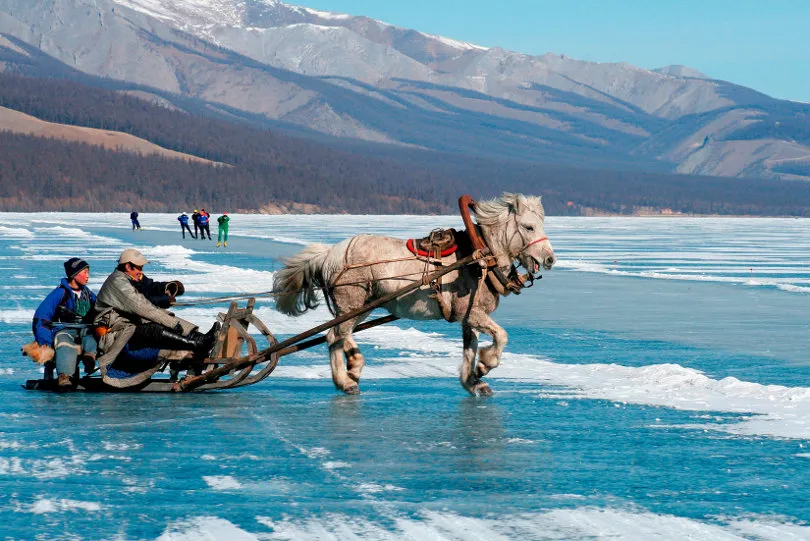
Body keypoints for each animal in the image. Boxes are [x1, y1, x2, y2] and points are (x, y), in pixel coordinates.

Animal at [274, 192, 556, 394]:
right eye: (529, 227)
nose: (550, 259)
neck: (480, 256)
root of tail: (331, 253)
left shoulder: (468, 318)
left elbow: (470, 349)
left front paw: (473, 381)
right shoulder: (470, 313)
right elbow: (501, 336)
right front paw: (486, 365)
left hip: (361, 306)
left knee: (340, 335)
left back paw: (354, 366)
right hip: (352, 303)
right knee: (334, 336)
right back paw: (346, 381)